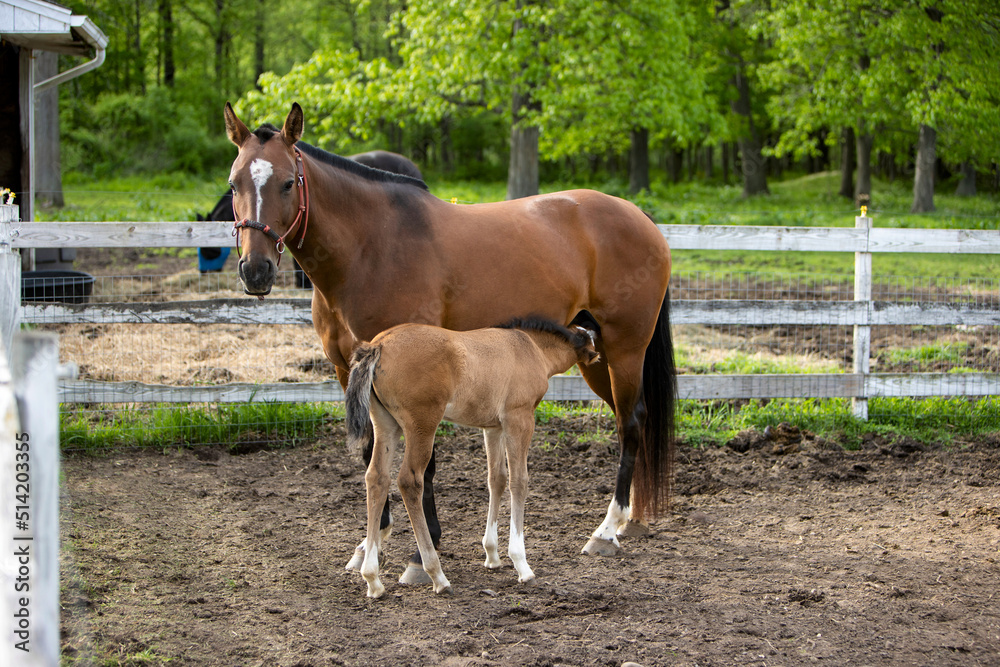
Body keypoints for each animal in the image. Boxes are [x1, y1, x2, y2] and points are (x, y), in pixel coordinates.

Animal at [345, 317, 600, 598]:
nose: (598, 359)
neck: (531, 347)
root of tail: (378, 344)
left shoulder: (493, 427)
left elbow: (496, 480)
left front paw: (492, 555)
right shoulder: (519, 418)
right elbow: (519, 482)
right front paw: (521, 563)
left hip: (385, 424)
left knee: (376, 478)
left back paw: (372, 578)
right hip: (422, 424)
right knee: (409, 481)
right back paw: (436, 574)